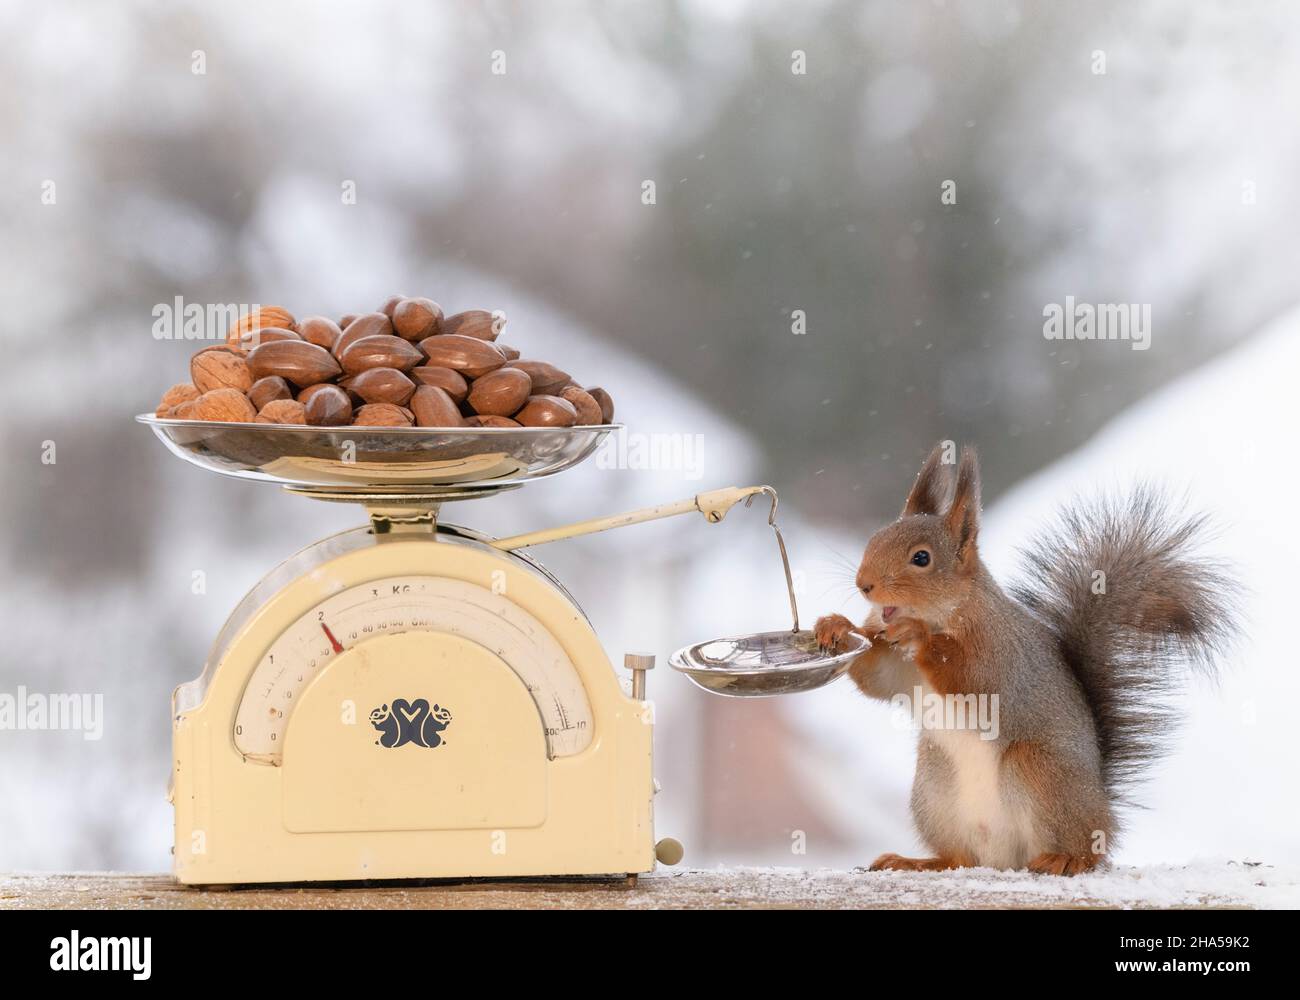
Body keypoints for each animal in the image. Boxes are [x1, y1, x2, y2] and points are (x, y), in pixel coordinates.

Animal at [814, 441, 1234, 875]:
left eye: (921, 558)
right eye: (875, 538)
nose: (864, 585)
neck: (947, 614)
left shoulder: (1000, 654)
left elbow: (973, 681)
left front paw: (917, 634)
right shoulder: (898, 668)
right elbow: (876, 676)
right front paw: (835, 626)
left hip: (1039, 769)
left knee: (1084, 849)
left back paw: (1066, 858)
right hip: (934, 786)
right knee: (959, 858)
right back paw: (916, 862)